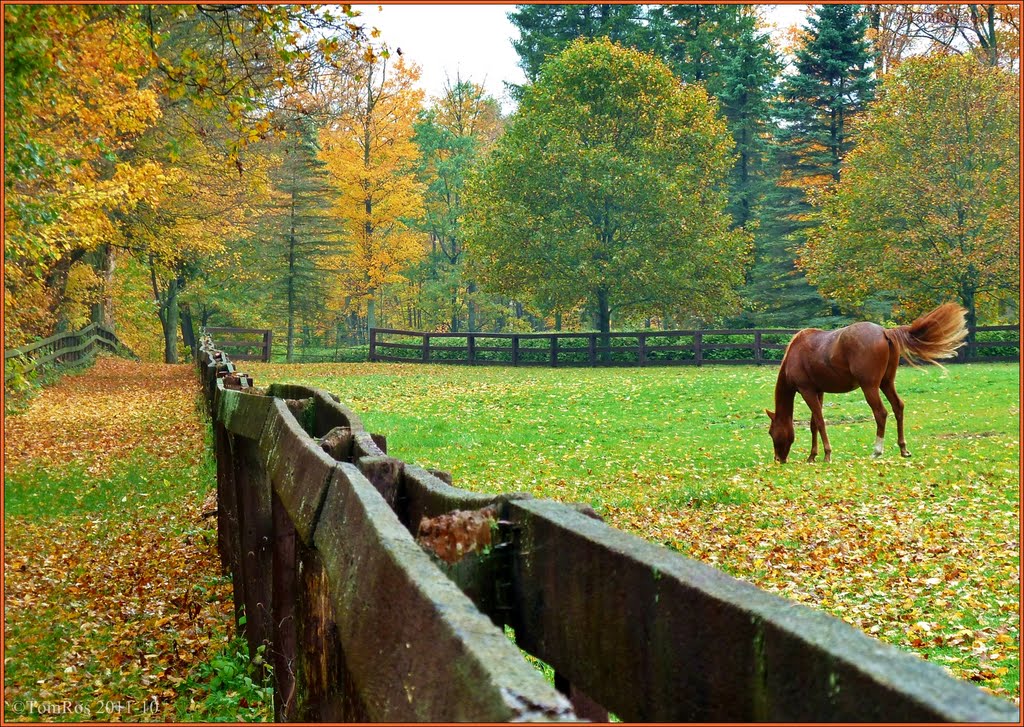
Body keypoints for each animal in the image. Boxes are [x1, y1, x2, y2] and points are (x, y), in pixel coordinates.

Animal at [770, 303, 966, 464]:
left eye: (771, 432)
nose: (778, 459)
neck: (795, 353)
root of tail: (885, 332)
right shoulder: (818, 391)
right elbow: (813, 424)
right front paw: (812, 456)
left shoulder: (807, 391)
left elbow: (819, 421)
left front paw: (826, 454)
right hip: (886, 383)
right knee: (898, 407)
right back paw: (903, 449)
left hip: (869, 387)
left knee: (881, 413)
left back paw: (877, 451)